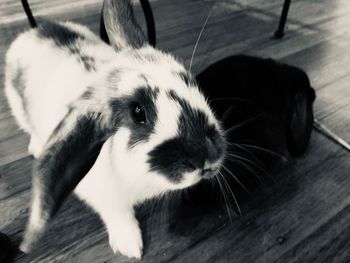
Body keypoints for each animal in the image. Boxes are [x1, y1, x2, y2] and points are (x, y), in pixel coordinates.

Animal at [4, 0, 227, 260]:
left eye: (188, 80)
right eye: (138, 113)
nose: (208, 156)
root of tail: (33, 31)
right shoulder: (104, 198)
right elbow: (118, 215)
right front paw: (130, 245)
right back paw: (36, 146)